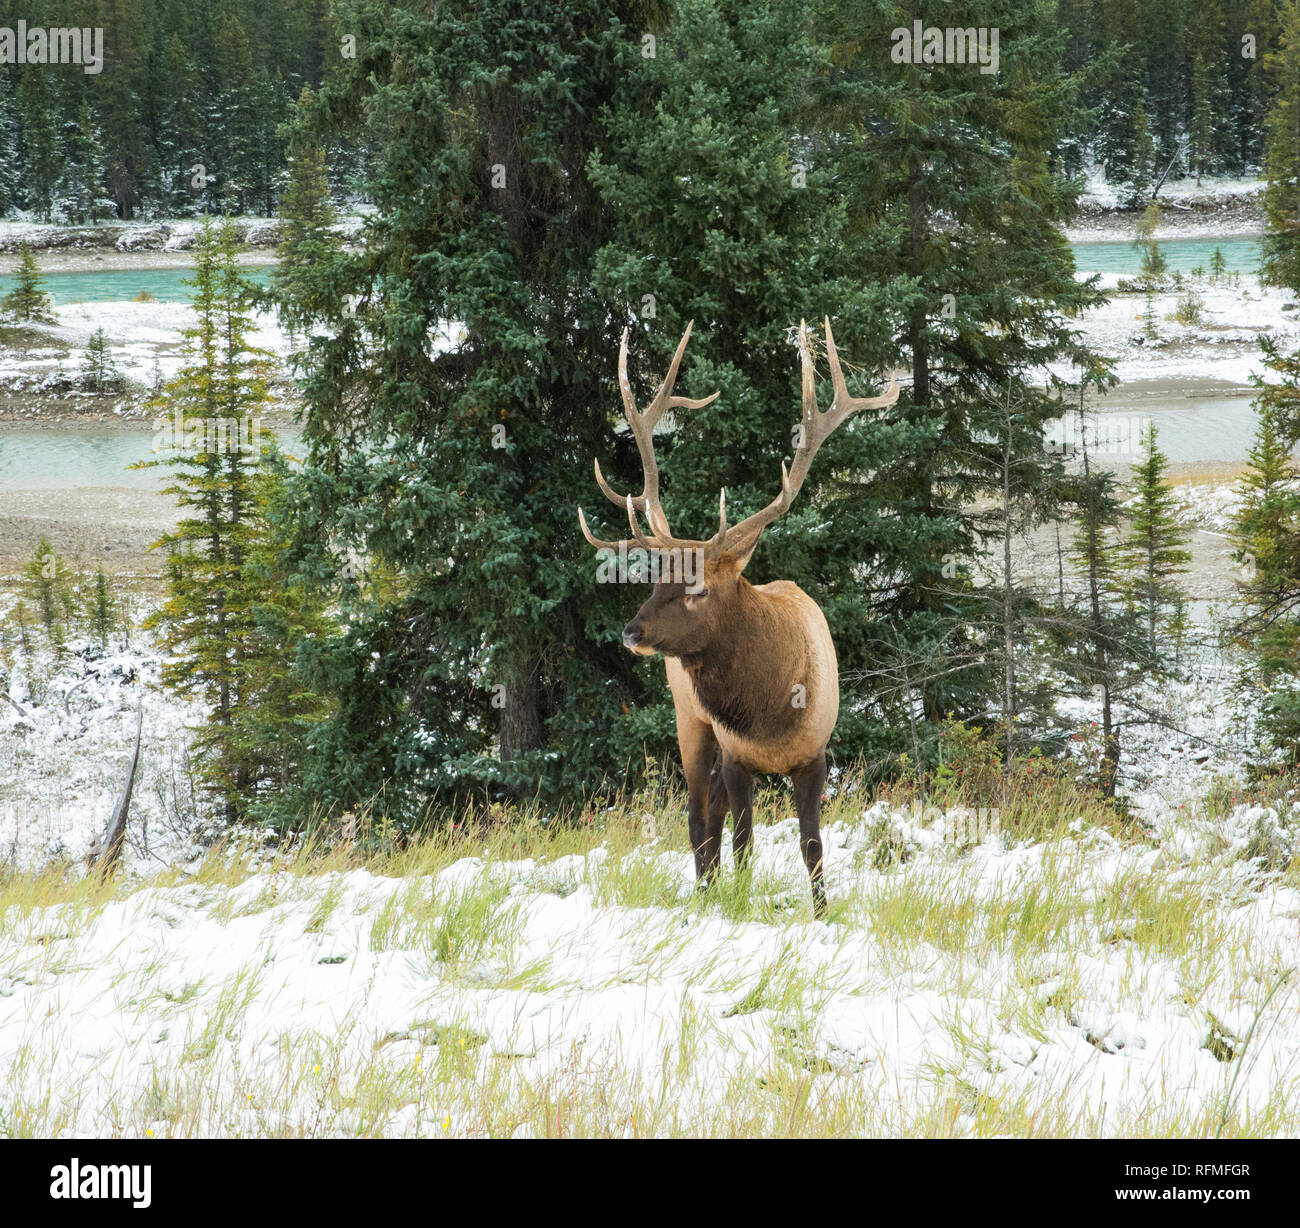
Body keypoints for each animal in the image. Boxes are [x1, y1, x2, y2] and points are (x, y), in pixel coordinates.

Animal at [585, 320, 899, 914]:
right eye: (657, 580)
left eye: (698, 588)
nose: (631, 631)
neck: (771, 710)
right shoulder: (735, 755)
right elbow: (743, 843)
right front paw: (738, 907)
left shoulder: (816, 753)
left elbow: (811, 843)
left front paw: (822, 913)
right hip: (689, 719)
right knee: (698, 817)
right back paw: (704, 893)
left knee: (710, 815)